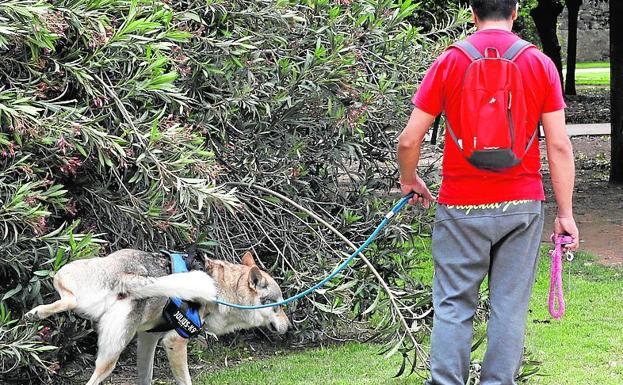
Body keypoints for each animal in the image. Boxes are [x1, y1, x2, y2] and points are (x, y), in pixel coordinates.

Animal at [24, 249, 292, 384]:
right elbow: (185, 381)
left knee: (68, 298)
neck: (221, 288)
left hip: (69, 277)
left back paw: (35, 313)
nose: (288, 327)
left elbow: (146, 377)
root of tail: (128, 276)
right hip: (110, 356)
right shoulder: (175, 342)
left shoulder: (148, 339)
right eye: (278, 306)